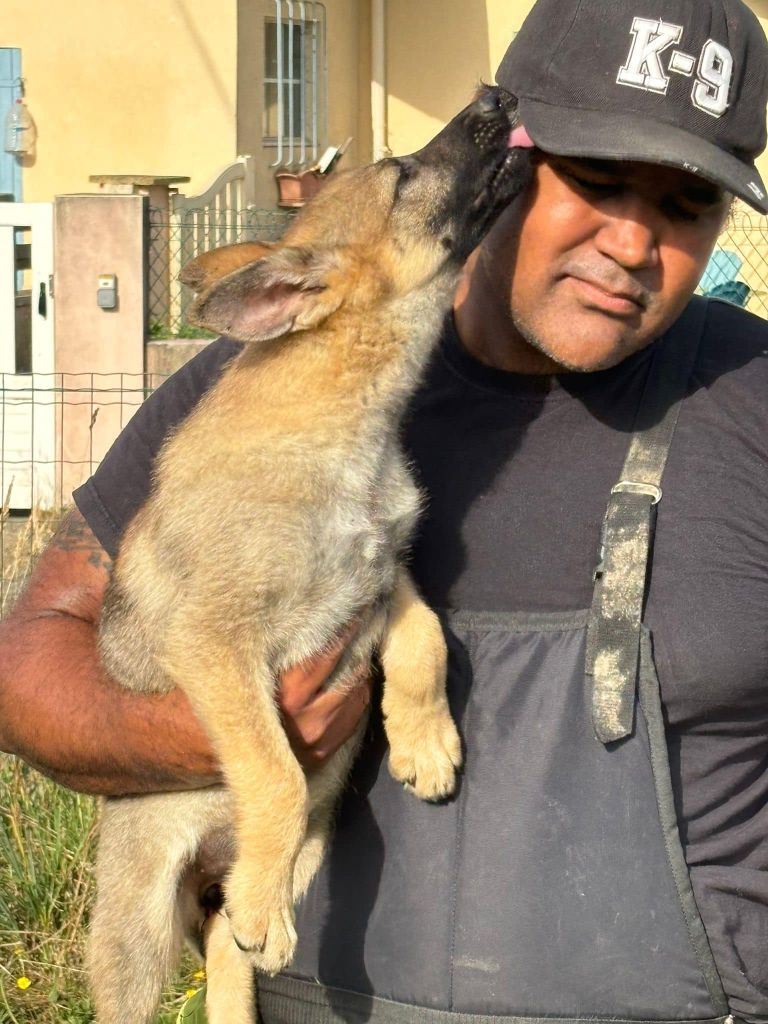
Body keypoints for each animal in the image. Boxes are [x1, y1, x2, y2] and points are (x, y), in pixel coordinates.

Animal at [87, 90, 532, 1024]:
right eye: (401, 173)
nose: (496, 97)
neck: (347, 419)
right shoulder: (215, 641)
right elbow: (274, 772)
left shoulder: (380, 575)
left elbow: (426, 638)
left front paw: (425, 740)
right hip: (137, 934)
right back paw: (253, 906)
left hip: (307, 860)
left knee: (231, 942)